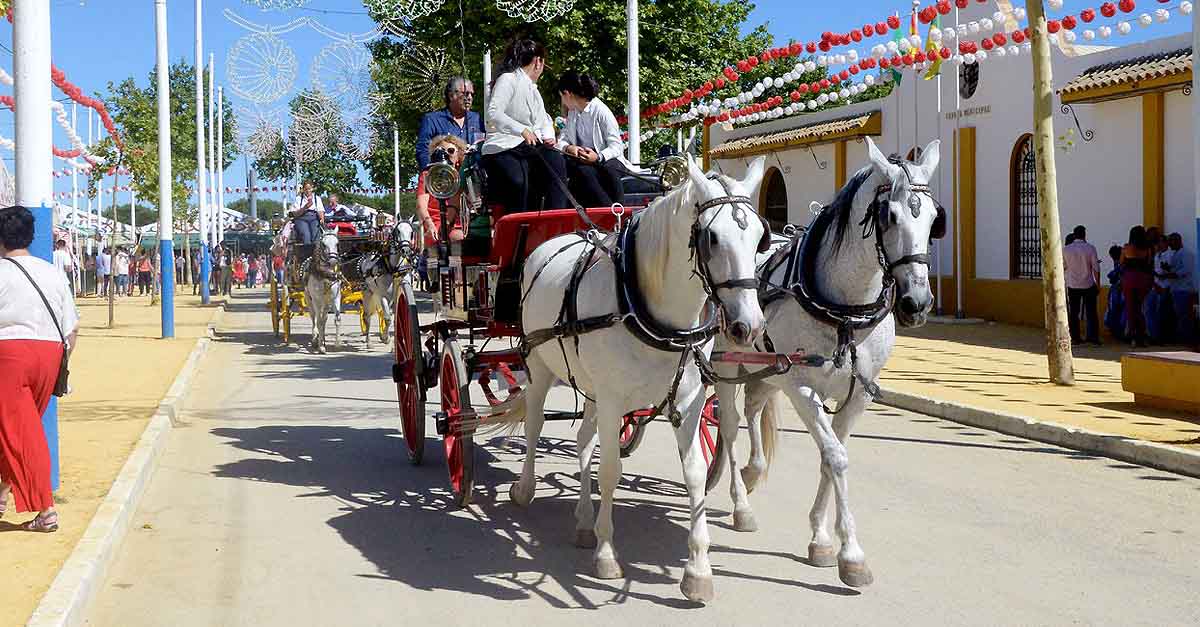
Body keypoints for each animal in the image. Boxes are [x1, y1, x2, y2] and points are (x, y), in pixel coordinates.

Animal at [506, 154, 768, 600]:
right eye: (712, 238)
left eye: (759, 240)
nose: (747, 326)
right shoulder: (613, 399)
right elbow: (610, 470)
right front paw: (607, 554)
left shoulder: (689, 399)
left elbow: (694, 474)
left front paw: (698, 570)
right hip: (540, 365)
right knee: (536, 424)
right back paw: (525, 489)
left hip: (591, 387)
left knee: (583, 439)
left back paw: (582, 519)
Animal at [710, 135, 945, 586]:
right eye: (889, 216)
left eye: (934, 220)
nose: (917, 303)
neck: (846, 310)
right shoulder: (802, 387)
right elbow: (836, 456)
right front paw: (851, 554)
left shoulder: (858, 395)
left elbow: (828, 455)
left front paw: (820, 538)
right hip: (728, 363)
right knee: (728, 426)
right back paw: (740, 502)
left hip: (765, 367)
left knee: (753, 408)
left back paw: (753, 471)